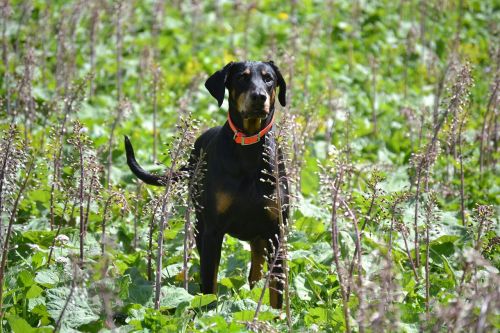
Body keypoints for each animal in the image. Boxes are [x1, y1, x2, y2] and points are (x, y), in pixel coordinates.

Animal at [124, 60, 290, 308]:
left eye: (268, 78)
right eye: (241, 77)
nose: (259, 96)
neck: (249, 149)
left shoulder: (276, 231)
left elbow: (275, 291)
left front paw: (276, 315)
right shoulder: (213, 231)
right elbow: (209, 282)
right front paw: (209, 311)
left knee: (255, 273)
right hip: (199, 226)